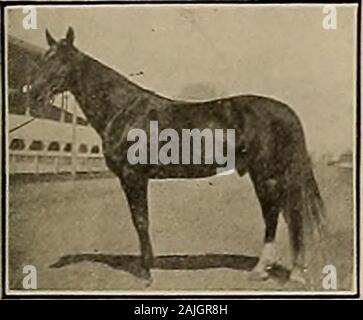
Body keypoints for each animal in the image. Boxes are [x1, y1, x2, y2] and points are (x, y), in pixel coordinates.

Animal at [27, 26, 324, 282]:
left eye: (61, 61)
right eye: (43, 59)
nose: (33, 93)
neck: (124, 110)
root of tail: (284, 111)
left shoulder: (133, 176)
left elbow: (140, 220)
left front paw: (147, 272)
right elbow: (140, 220)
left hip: (265, 174)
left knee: (278, 214)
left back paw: (271, 271)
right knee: (283, 214)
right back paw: (278, 270)